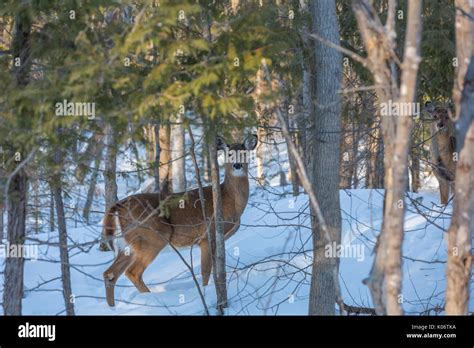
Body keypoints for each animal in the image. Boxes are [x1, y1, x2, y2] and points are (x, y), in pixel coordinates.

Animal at [102, 135, 258, 306]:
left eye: (244, 153)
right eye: (229, 154)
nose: (237, 165)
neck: (227, 200)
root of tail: (117, 206)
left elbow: (216, 269)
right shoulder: (207, 236)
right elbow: (205, 271)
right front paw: (206, 292)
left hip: (126, 245)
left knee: (110, 273)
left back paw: (113, 307)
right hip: (152, 237)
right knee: (132, 272)